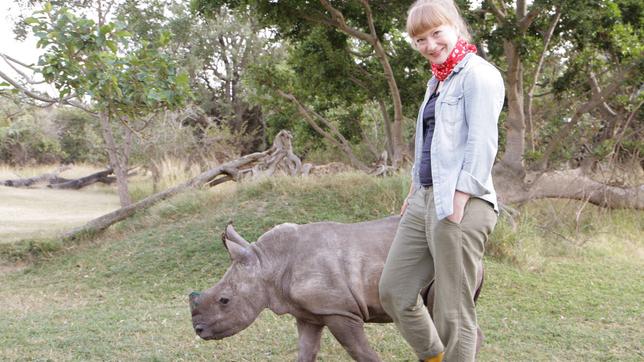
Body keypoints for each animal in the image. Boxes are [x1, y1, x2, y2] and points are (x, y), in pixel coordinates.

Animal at [189, 216, 480, 360]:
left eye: (224, 300)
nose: (199, 330)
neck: (268, 263)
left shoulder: (339, 311)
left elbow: (360, 352)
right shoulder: (308, 315)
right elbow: (306, 352)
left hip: (447, 258)